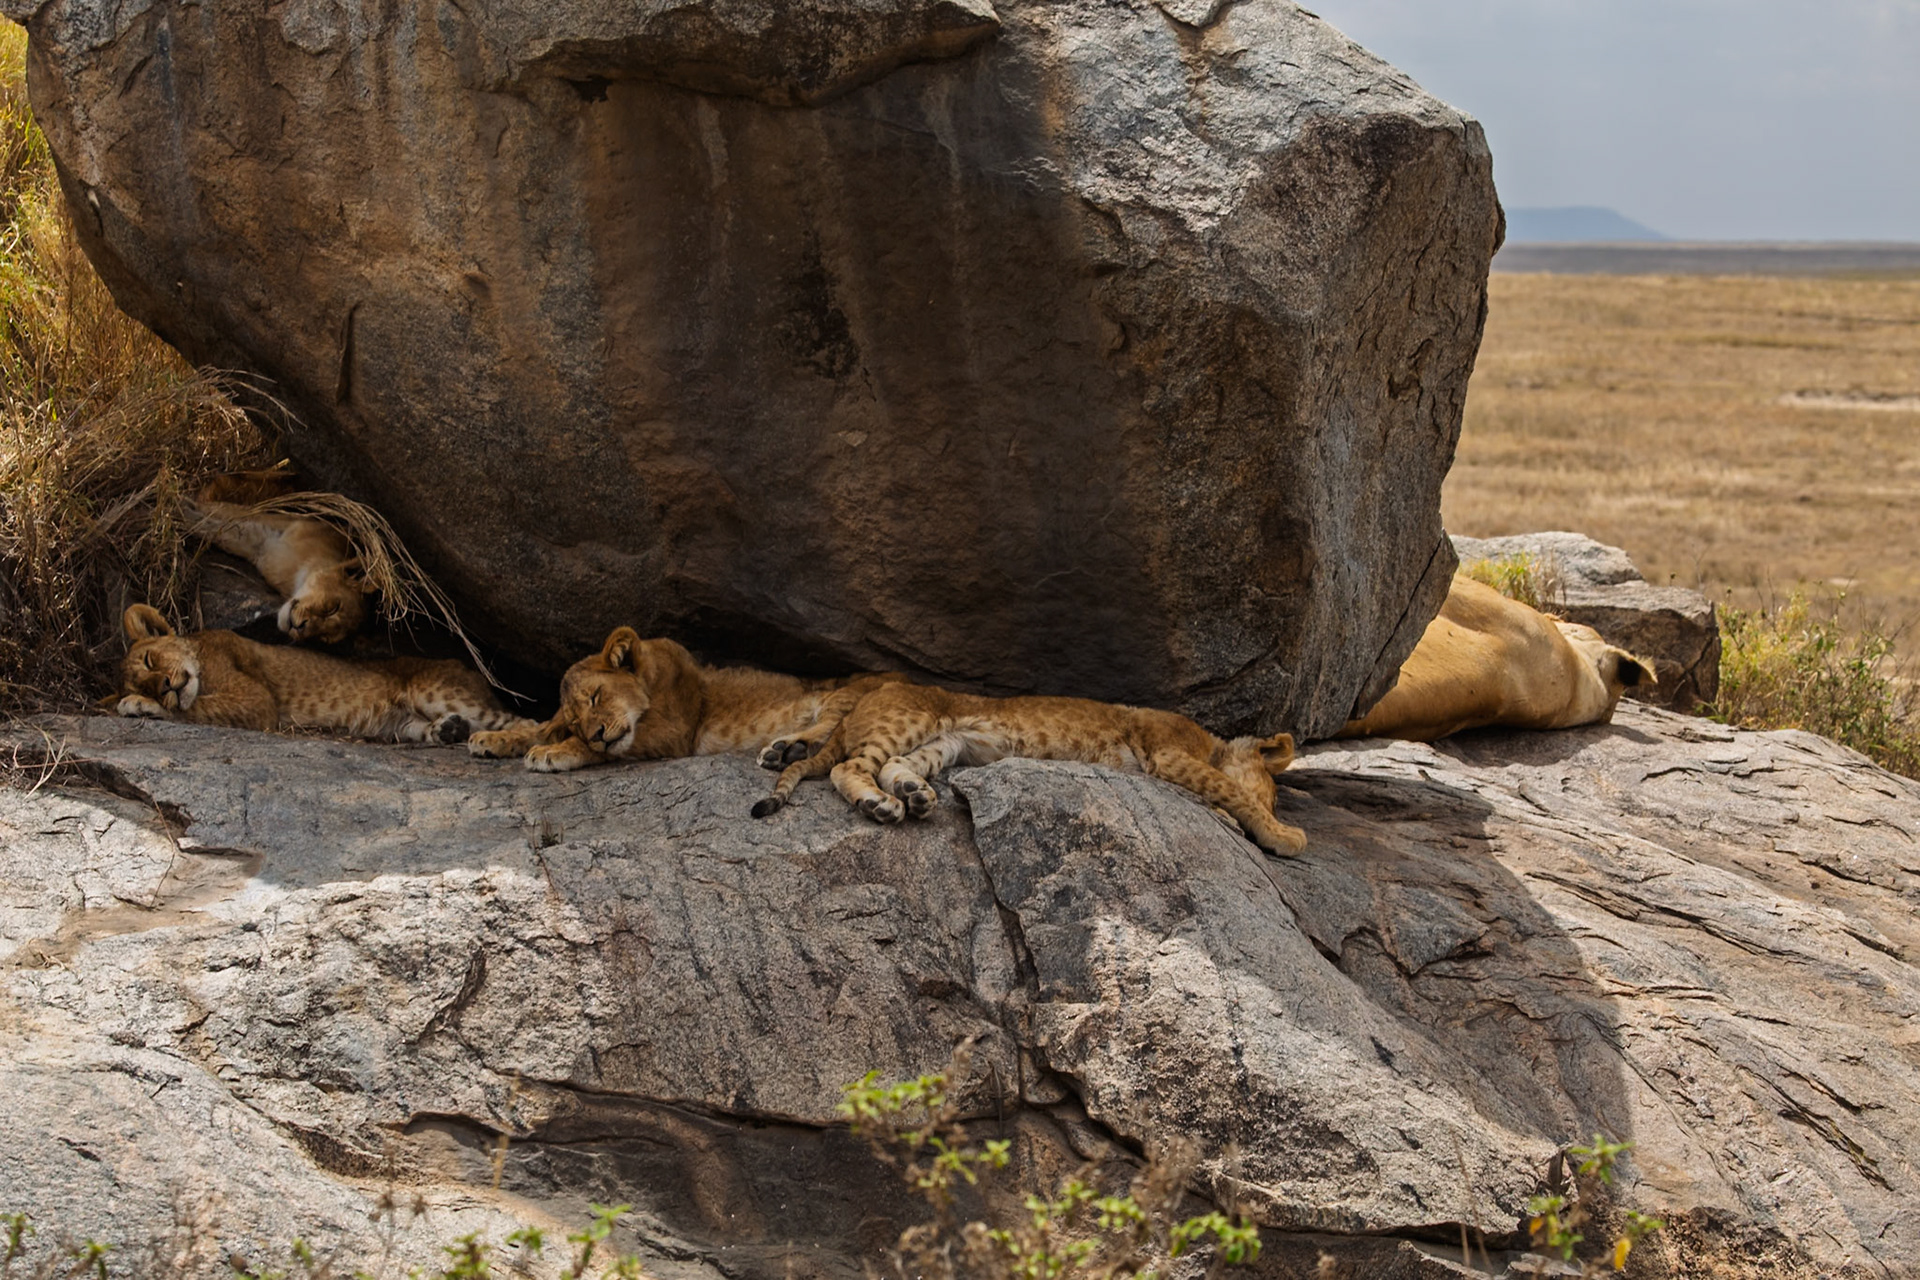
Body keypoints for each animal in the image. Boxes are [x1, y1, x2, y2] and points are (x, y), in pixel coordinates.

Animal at [115, 603, 534, 744]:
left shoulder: (257, 702)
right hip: (396, 723)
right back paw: (448, 731)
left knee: (525, 721)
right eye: (147, 680)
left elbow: (197, 709)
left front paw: (138, 705)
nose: (164, 687)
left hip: (435, 690)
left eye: (149, 660)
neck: (200, 652)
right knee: (420, 729)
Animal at [186, 472, 372, 644]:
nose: (300, 628)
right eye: (333, 608)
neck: (297, 574)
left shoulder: (261, 545)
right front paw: (182, 508)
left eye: (323, 637)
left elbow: (222, 531)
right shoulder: (278, 522)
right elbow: (222, 514)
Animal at [467, 626, 904, 773]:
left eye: (595, 697)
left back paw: (785, 751)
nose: (595, 734)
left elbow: (599, 749)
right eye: (576, 719)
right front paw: (491, 739)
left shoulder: (676, 733)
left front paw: (552, 752)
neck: (650, 678)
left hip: (843, 693)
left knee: (831, 723)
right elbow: (542, 726)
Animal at [751, 682, 1307, 856]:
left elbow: (1220, 794)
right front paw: (1285, 834)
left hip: (947, 742)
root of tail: (872, 689)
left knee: (893, 765)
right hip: (912, 716)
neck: (1211, 743)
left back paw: (914, 794)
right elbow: (1230, 790)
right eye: (1277, 796)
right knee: (846, 766)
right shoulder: (1168, 751)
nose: (1282, 814)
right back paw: (882, 806)